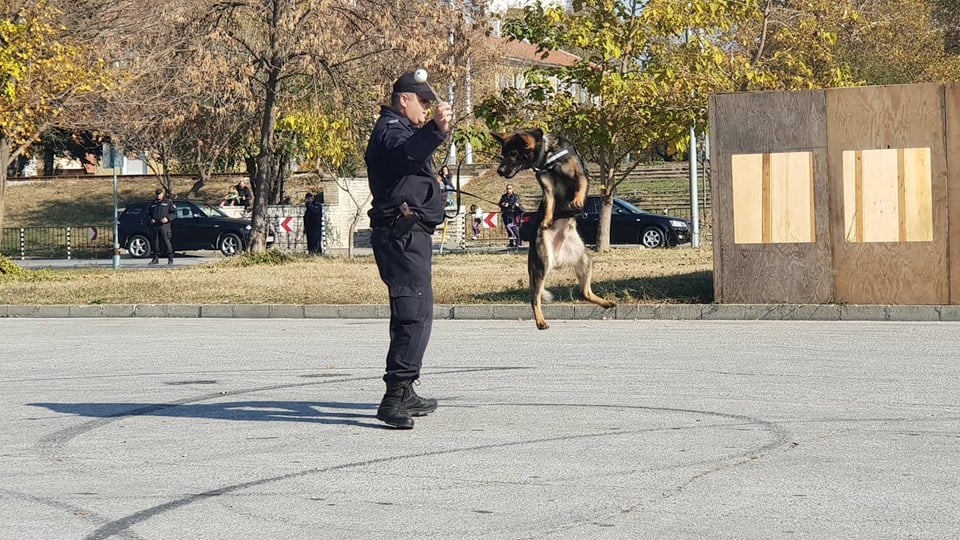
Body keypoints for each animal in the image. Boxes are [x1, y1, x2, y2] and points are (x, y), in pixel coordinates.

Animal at [492, 129, 620, 330]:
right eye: (503, 154)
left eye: (513, 154)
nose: (499, 171)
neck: (548, 158)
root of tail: (558, 259)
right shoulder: (548, 188)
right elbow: (550, 204)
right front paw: (546, 219)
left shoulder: (580, 175)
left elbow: (580, 186)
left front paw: (577, 200)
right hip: (542, 265)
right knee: (534, 299)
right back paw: (540, 321)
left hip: (585, 260)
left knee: (584, 292)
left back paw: (606, 302)